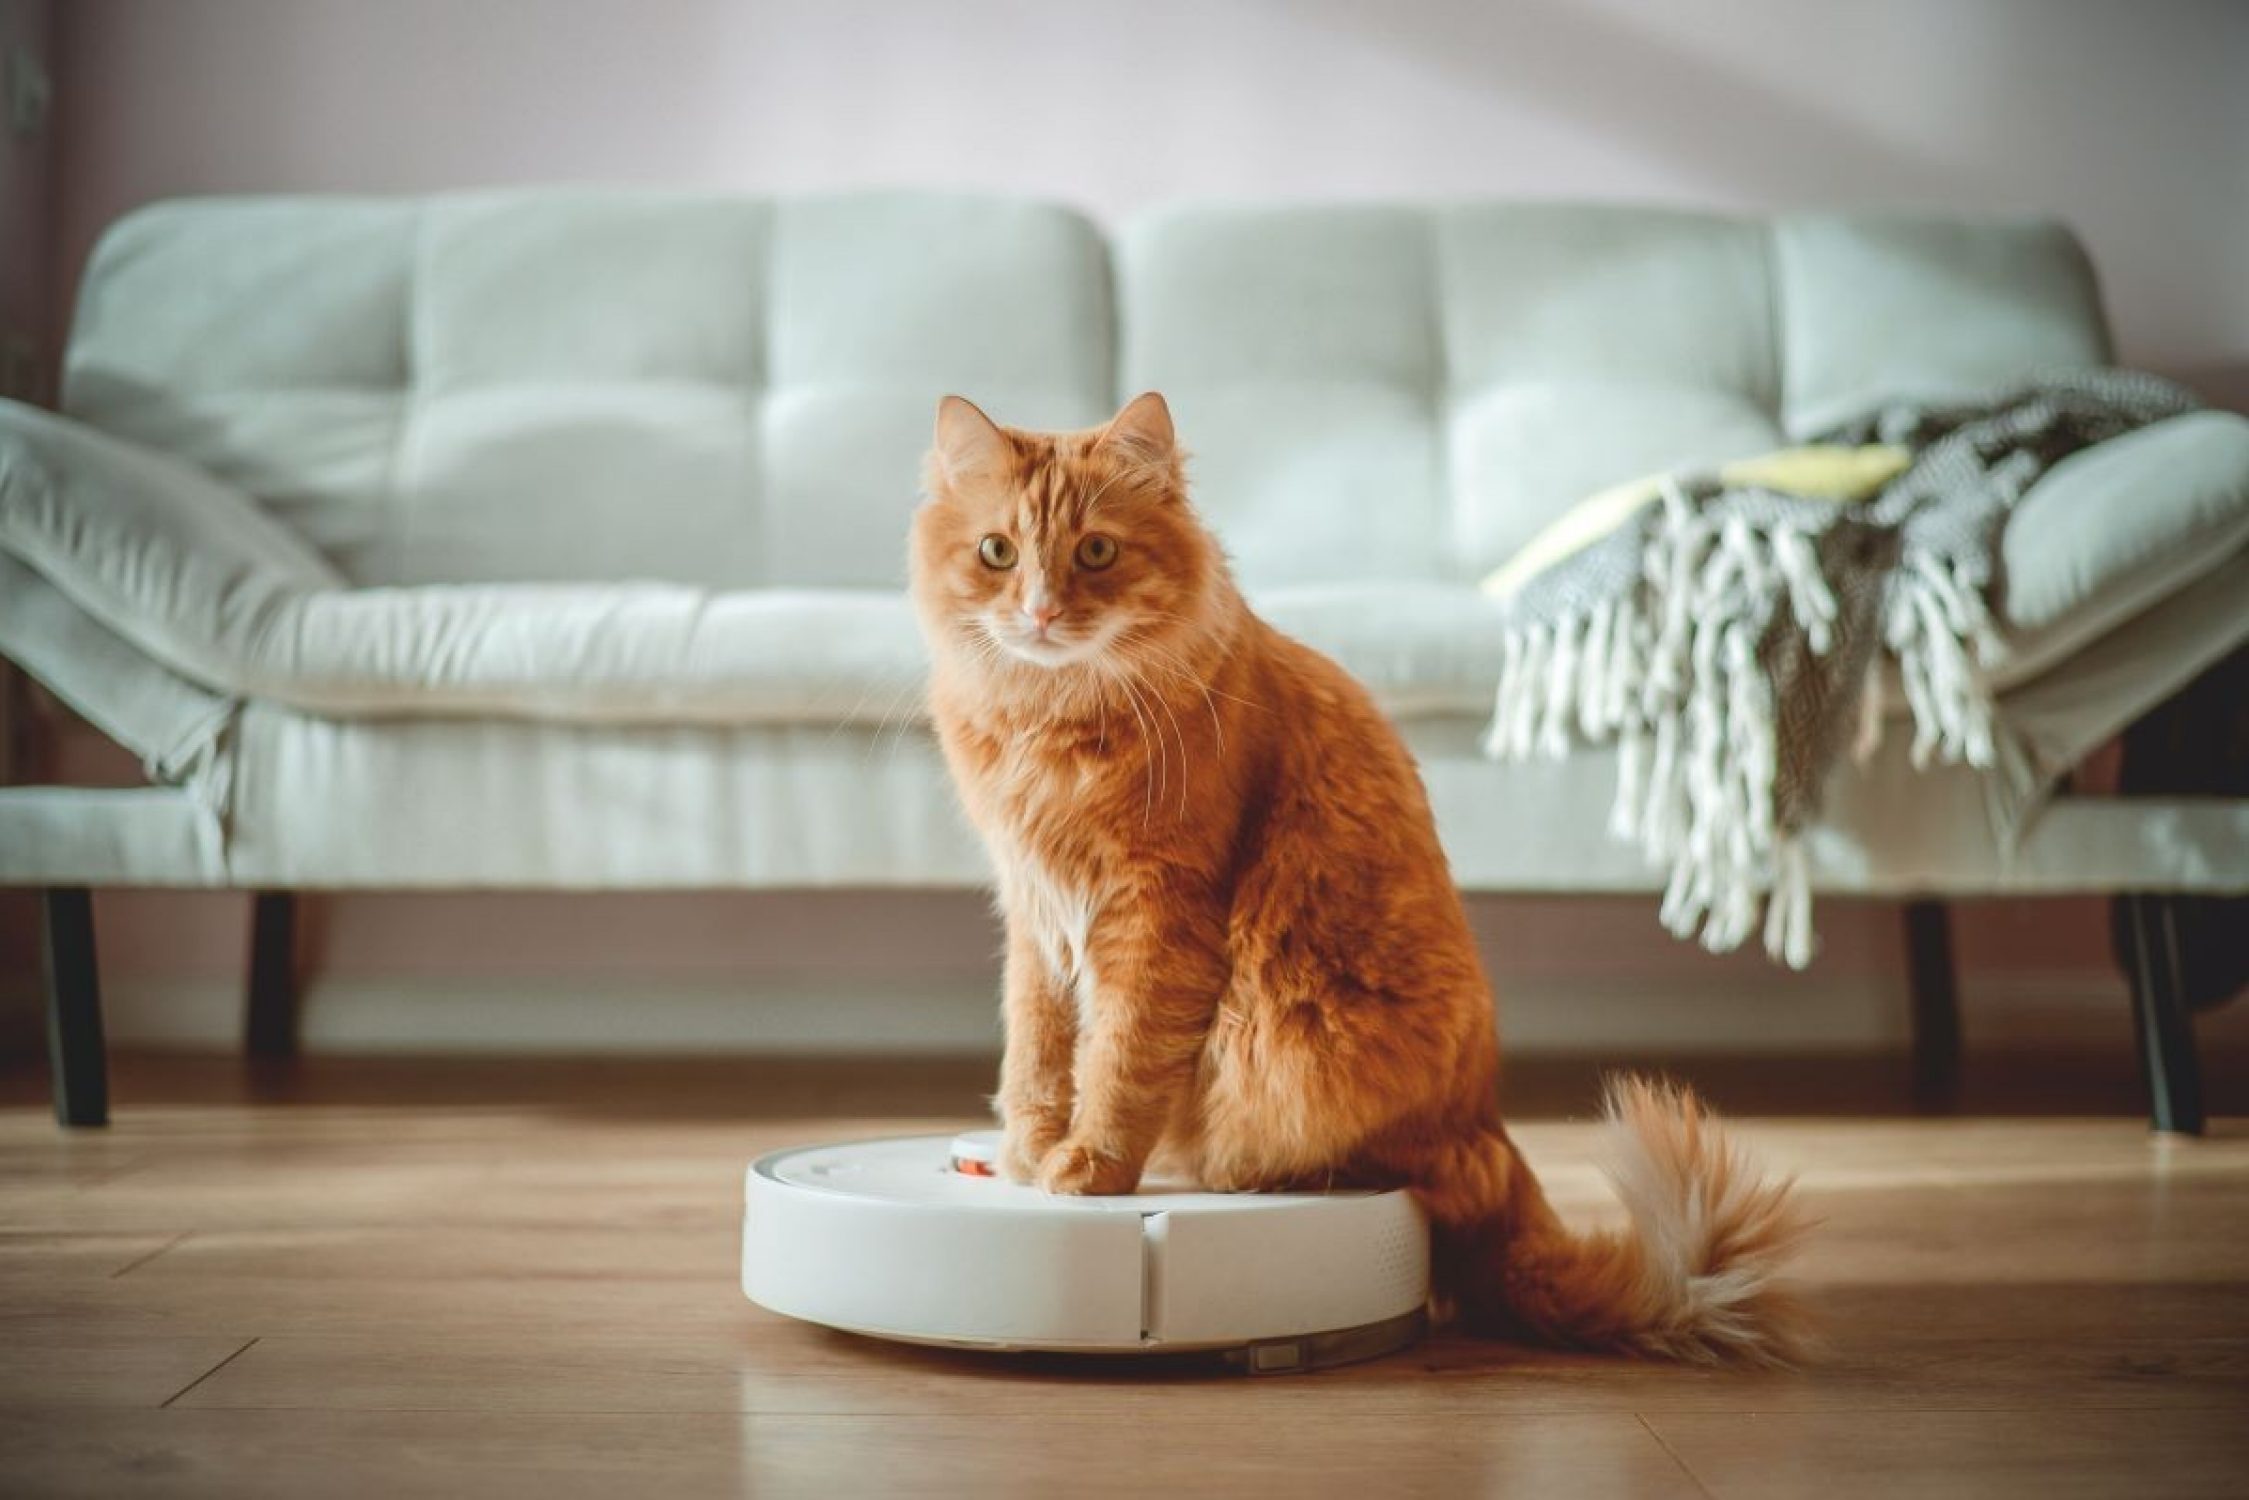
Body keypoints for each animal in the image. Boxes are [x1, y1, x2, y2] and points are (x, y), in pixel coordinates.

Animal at [904, 393, 1799, 1367]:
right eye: (998, 553)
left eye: (1096, 552)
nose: (1038, 612)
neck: (1049, 720)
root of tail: (1485, 1126)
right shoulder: (1033, 913)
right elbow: (1036, 1052)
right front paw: (1027, 1150)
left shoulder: (1157, 913)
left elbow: (1118, 1061)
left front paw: (1090, 1167)